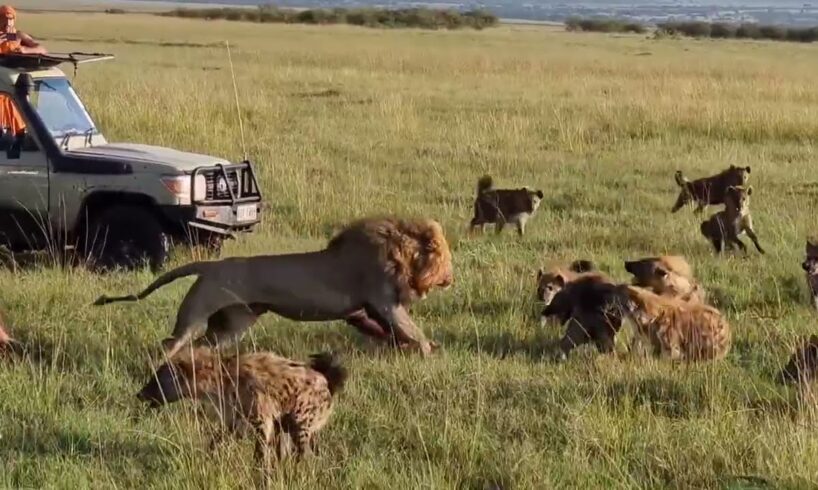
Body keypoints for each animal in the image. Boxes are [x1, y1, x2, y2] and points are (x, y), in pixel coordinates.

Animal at [94, 216, 454, 358]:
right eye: (448, 262)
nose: (452, 279)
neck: (401, 252)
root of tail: (211, 265)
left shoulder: (365, 309)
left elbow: (388, 331)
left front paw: (405, 347)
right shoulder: (384, 301)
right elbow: (410, 328)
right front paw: (427, 350)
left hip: (234, 323)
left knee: (202, 346)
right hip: (196, 313)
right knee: (170, 342)